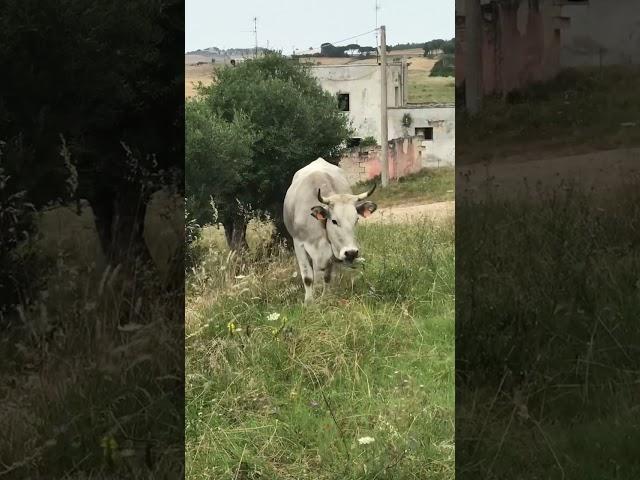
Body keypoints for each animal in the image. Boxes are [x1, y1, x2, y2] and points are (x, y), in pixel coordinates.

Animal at [282, 158, 378, 304]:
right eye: (334, 221)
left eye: (356, 219)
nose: (351, 253)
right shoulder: (299, 244)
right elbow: (308, 277)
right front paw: (309, 302)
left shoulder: (332, 252)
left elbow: (327, 277)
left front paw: (326, 297)